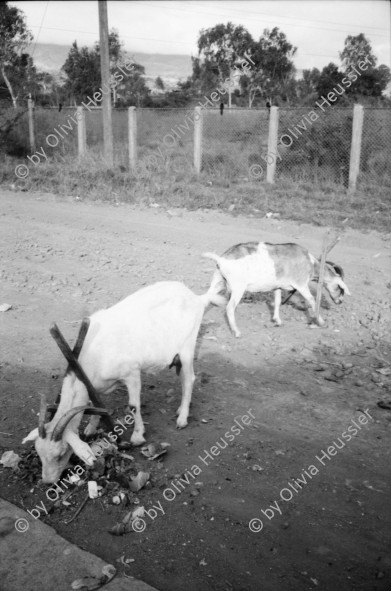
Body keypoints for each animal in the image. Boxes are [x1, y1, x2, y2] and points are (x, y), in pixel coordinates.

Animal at [23, 280, 225, 484]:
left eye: (61, 453)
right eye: (39, 452)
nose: (48, 481)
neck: (95, 354)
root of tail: (197, 298)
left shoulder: (132, 373)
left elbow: (134, 405)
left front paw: (137, 437)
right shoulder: (94, 384)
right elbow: (95, 403)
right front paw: (90, 428)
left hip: (187, 347)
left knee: (189, 379)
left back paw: (182, 418)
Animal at [204, 242, 350, 338]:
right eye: (340, 288)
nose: (340, 301)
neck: (309, 262)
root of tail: (222, 259)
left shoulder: (278, 286)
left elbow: (278, 301)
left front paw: (277, 321)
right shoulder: (301, 284)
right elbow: (312, 300)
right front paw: (322, 322)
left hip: (218, 281)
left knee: (206, 298)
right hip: (238, 287)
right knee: (229, 308)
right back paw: (237, 332)